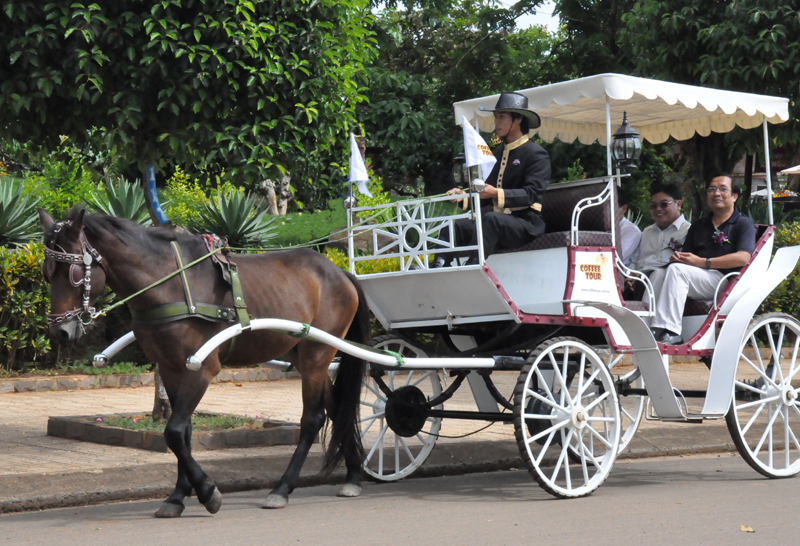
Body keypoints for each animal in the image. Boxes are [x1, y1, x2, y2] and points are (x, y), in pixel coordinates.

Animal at [39, 206, 368, 516]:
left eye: (73, 273)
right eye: (46, 272)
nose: (60, 331)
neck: (168, 283)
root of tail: (340, 273)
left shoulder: (203, 368)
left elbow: (173, 431)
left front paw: (208, 491)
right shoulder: (171, 368)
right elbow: (182, 433)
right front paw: (178, 495)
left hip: (316, 354)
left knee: (313, 419)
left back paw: (282, 488)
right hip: (301, 354)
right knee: (338, 407)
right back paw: (353, 475)